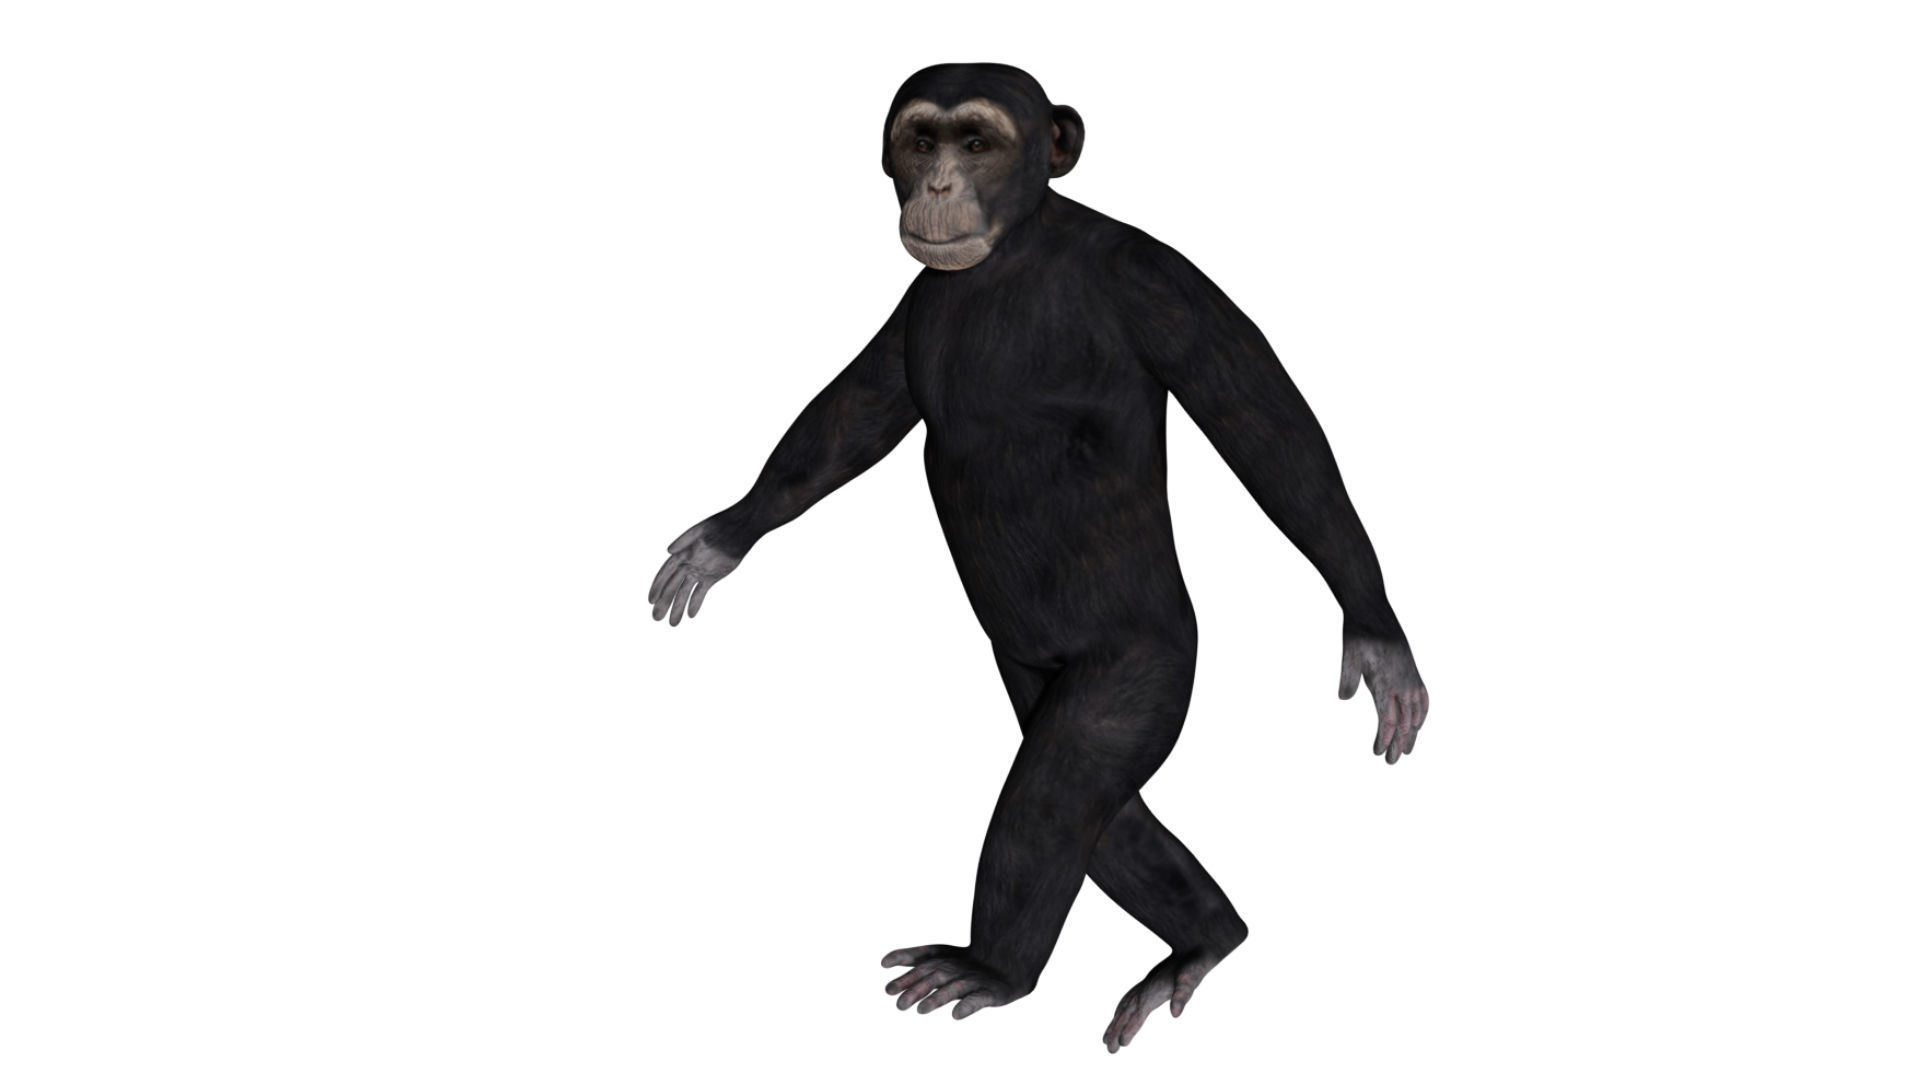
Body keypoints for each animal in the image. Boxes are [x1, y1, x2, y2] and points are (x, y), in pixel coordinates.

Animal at [649, 63, 1429, 1052]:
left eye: (977, 142)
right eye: (921, 139)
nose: (939, 182)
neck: (1017, 254)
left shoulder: (1161, 284)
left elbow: (1265, 426)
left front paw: (1378, 640)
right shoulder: (916, 301)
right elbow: (855, 414)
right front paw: (722, 539)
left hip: (1144, 661)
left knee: (1067, 778)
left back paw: (999, 969)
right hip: (1027, 669)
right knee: (1101, 806)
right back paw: (1204, 939)